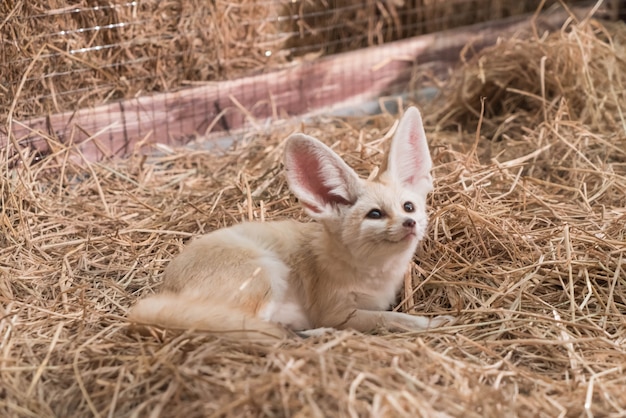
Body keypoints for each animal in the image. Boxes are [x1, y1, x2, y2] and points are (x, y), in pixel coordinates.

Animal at [128, 107, 448, 340]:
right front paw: (432, 323)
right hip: (268, 274)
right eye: (375, 214)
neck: (374, 272)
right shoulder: (339, 312)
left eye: (408, 207)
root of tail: (163, 290)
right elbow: (393, 318)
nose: (410, 223)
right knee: (256, 326)